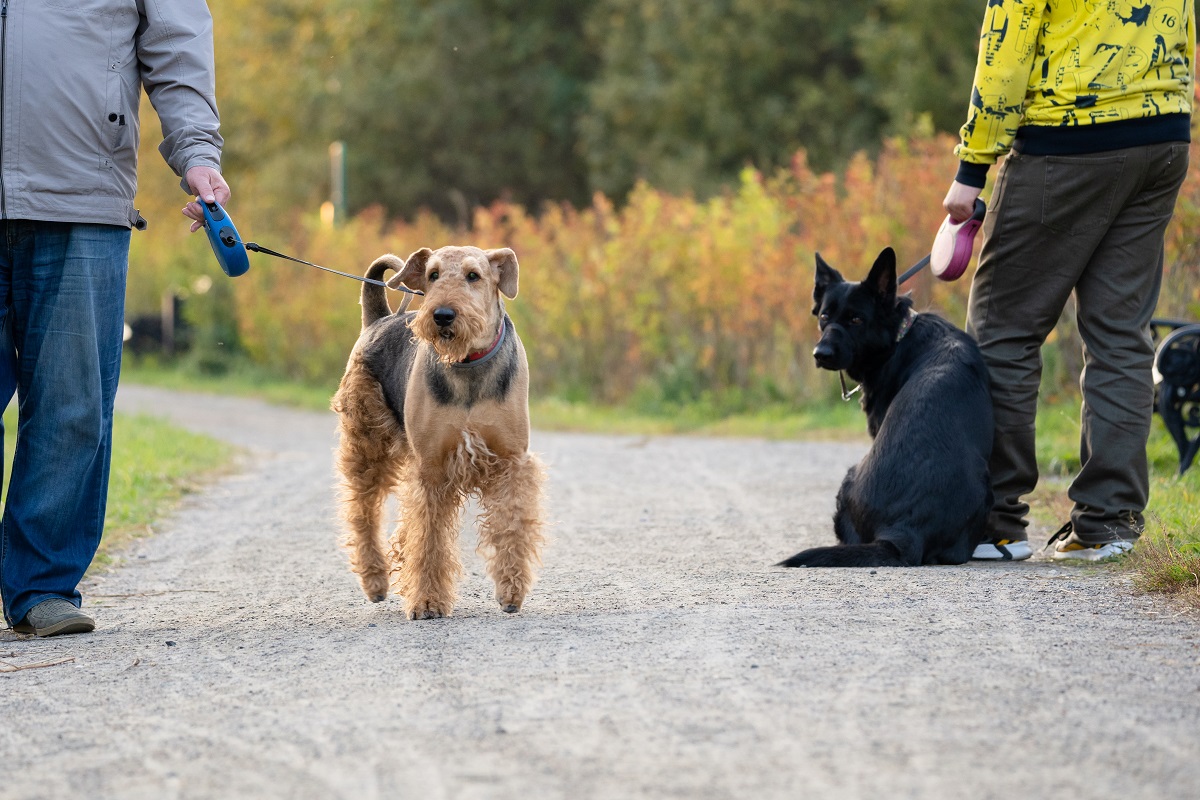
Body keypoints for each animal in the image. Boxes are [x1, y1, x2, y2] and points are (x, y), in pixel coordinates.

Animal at [777, 247, 993, 566]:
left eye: (856, 319)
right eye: (825, 316)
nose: (821, 354)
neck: (899, 335)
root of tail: (905, 530)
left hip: (848, 477)